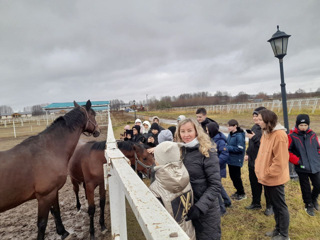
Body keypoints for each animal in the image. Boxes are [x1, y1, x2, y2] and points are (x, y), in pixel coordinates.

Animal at [0, 100, 100, 239]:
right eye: (93, 114)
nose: (98, 131)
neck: (49, 150)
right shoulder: (44, 196)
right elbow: (42, 224)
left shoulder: (53, 191)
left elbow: (56, 211)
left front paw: (63, 232)